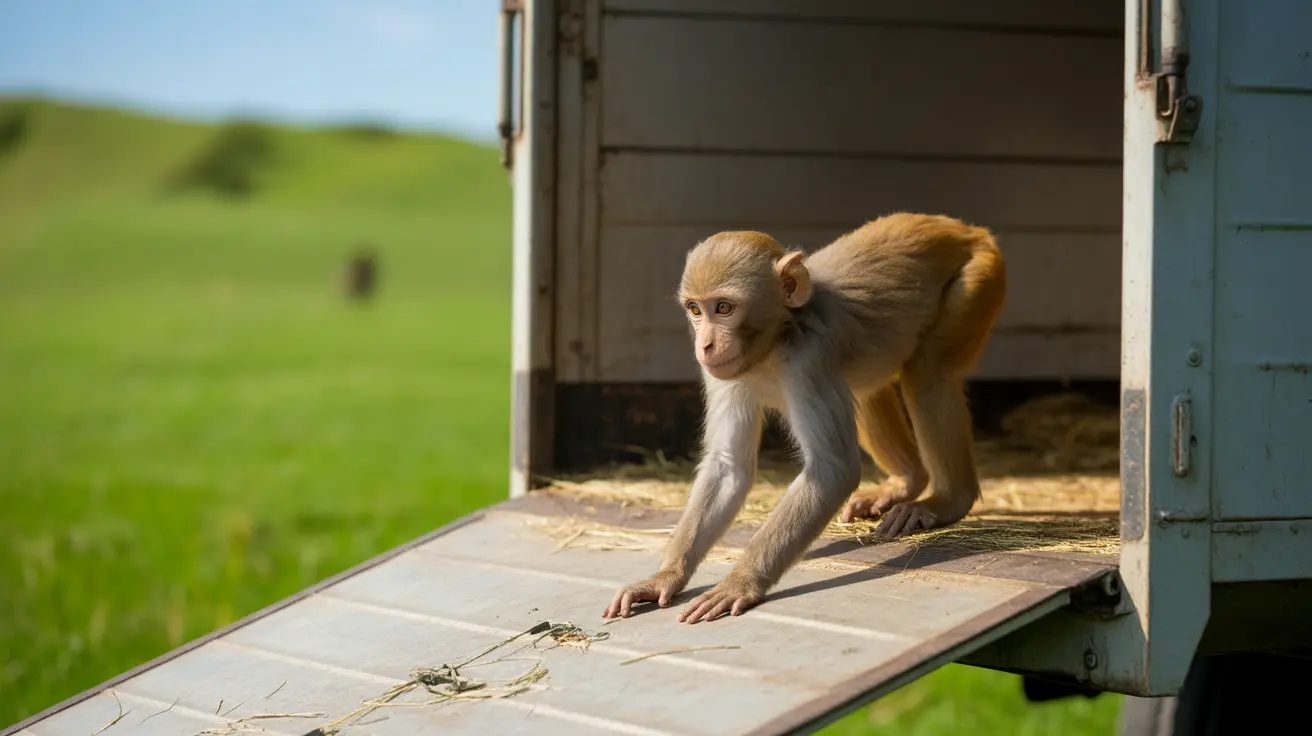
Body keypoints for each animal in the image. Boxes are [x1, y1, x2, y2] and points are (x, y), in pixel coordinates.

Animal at [601, 212, 1006, 624]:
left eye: (724, 308)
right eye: (696, 310)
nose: (706, 345)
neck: (774, 342)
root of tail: (961, 228)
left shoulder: (809, 358)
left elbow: (832, 469)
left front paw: (739, 583)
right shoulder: (721, 373)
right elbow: (728, 466)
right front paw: (665, 577)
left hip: (977, 276)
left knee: (928, 374)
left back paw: (948, 500)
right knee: (866, 386)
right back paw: (905, 482)